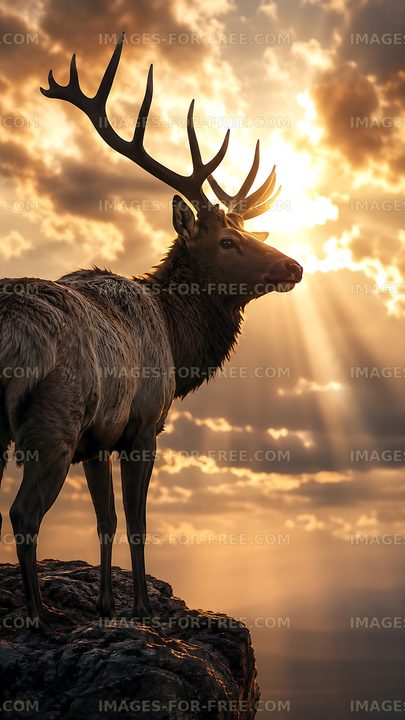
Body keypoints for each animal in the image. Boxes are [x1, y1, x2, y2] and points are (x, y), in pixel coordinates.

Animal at [0, 33, 302, 630]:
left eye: (247, 232)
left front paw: (105, 605)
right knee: (22, 512)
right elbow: (137, 520)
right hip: (50, 421)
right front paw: (140, 608)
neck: (176, 341)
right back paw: (40, 616)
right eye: (227, 242)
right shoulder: (142, 426)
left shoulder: (96, 441)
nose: (294, 266)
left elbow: (106, 519)